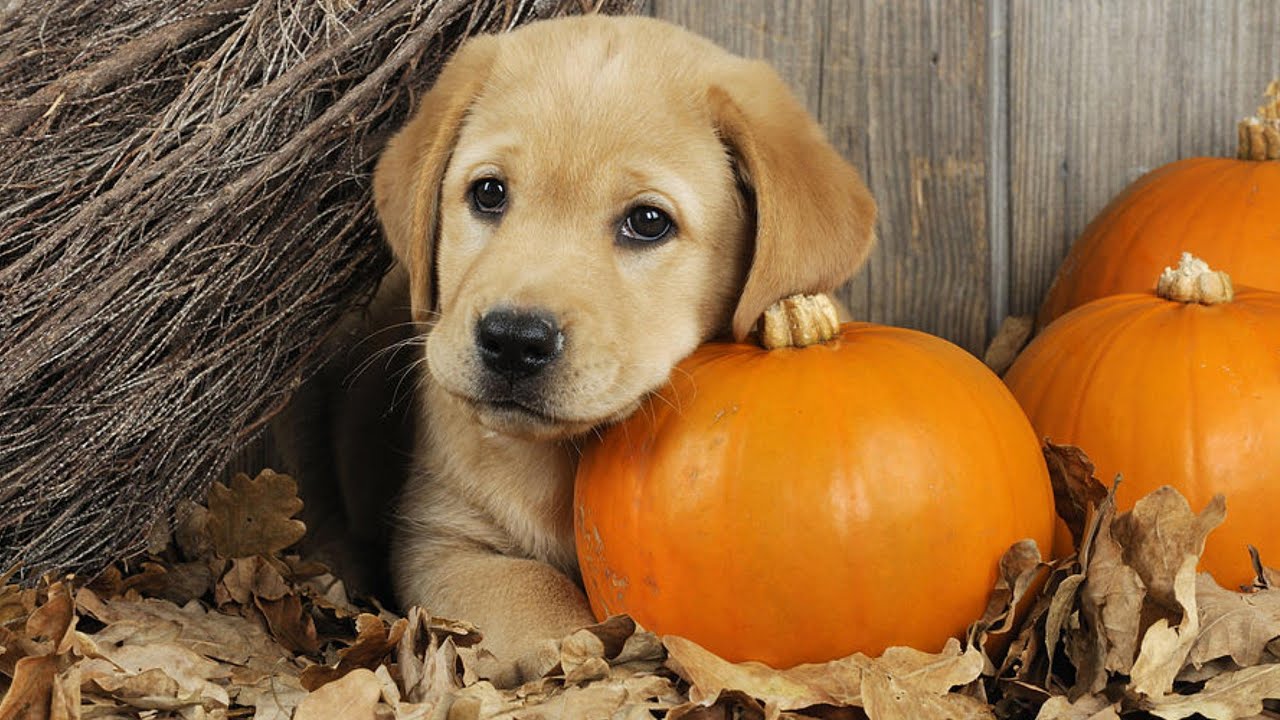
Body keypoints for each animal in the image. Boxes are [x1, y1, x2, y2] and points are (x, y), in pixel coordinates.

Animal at [360, 14, 870, 676]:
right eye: (489, 193)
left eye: (648, 222)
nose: (513, 341)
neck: (565, 458)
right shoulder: (439, 538)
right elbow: (536, 591)